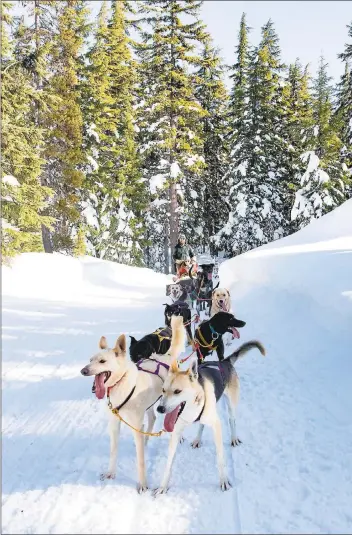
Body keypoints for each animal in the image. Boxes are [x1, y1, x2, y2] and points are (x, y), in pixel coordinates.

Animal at [80, 314, 184, 494]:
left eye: (102, 361)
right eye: (90, 360)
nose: (83, 371)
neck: (122, 385)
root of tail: (168, 356)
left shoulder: (136, 425)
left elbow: (141, 461)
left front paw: (142, 485)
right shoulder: (115, 424)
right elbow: (113, 451)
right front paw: (111, 472)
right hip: (149, 406)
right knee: (152, 418)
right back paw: (146, 440)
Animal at [153, 342, 264, 496]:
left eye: (177, 391)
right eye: (163, 390)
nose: (160, 409)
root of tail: (225, 362)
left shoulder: (217, 425)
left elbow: (220, 458)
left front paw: (224, 480)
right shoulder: (176, 431)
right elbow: (169, 463)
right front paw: (163, 486)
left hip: (230, 406)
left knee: (232, 420)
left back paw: (234, 438)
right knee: (202, 424)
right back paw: (197, 439)